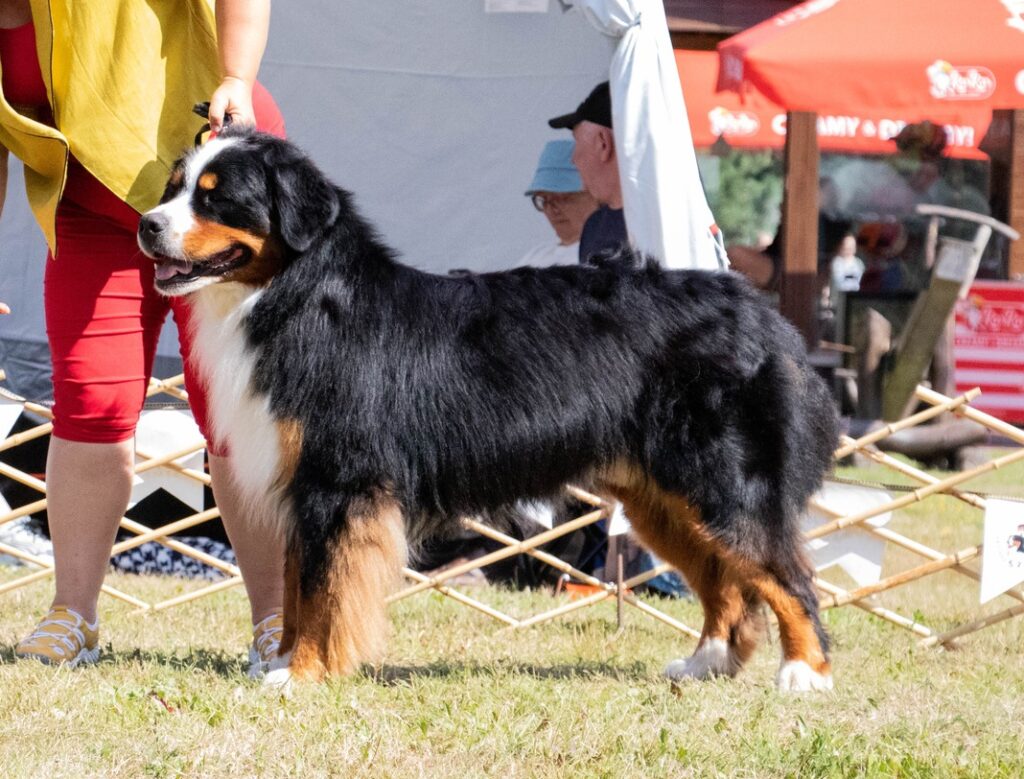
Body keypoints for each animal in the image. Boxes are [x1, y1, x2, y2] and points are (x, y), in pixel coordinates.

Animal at [137, 127, 839, 692]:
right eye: (175, 187)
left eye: (216, 197)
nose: (146, 224)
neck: (300, 298)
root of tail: (763, 316)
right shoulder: (301, 486)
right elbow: (298, 583)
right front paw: (283, 662)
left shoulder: (338, 483)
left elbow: (323, 592)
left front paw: (301, 673)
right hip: (663, 497)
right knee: (725, 582)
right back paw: (704, 665)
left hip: (722, 485)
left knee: (786, 577)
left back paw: (805, 674)